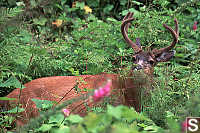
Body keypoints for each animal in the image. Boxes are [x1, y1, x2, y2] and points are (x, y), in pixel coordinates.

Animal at [0, 12, 178, 127]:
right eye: (133, 58)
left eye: (152, 61)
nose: (137, 67)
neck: (129, 96)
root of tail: (6, 99)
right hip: (25, 112)